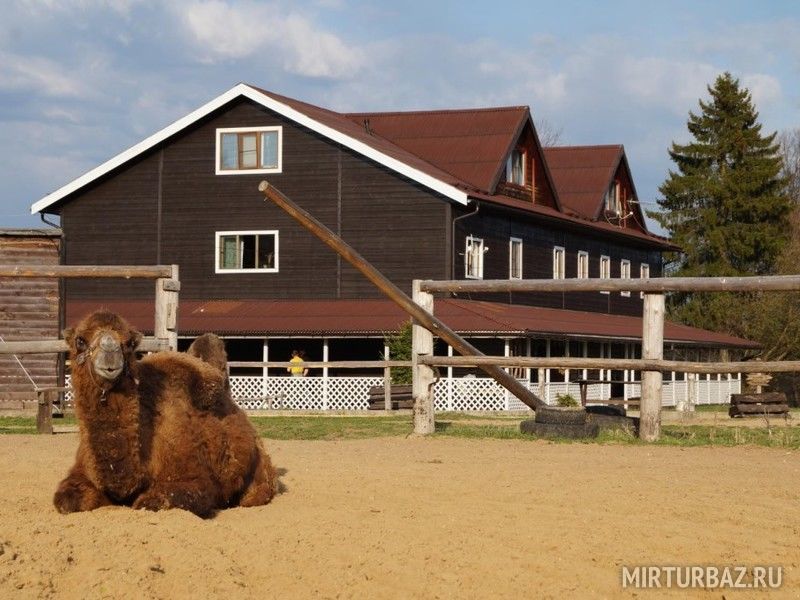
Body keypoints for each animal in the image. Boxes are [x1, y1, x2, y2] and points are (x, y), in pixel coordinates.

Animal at [54, 310, 278, 516]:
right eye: (80, 340)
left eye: (129, 344)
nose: (110, 353)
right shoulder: (82, 472)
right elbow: (65, 499)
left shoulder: (193, 480)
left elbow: (152, 502)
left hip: (260, 475)